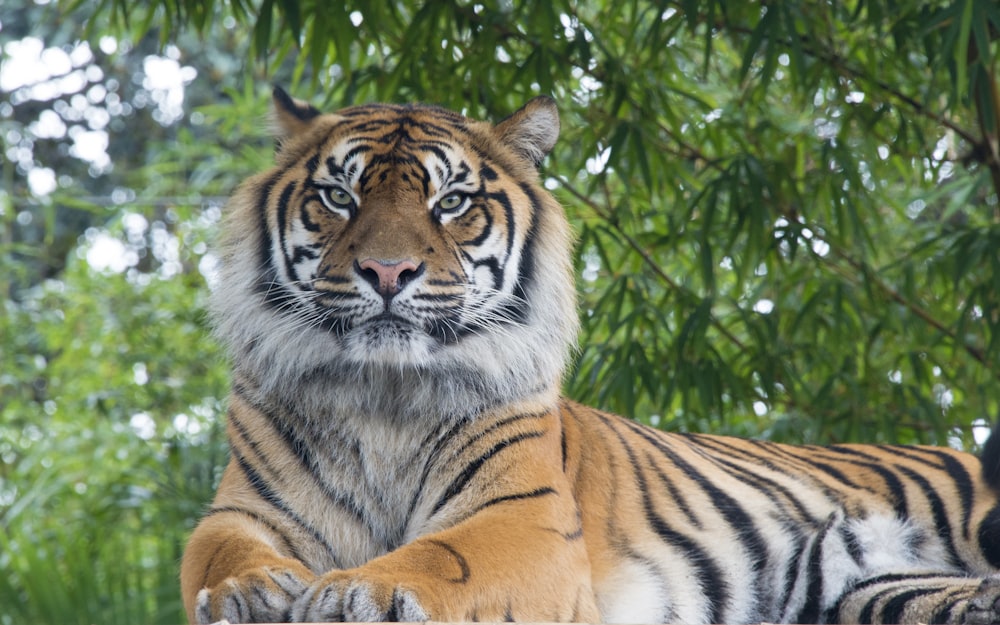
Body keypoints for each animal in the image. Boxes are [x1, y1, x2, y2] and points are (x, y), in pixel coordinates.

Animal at [182, 89, 1000, 624]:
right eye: (339, 197)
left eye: (451, 203)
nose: (387, 272)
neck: (383, 394)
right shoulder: (241, 511)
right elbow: (217, 555)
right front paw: (250, 593)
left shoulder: (521, 517)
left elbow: (440, 555)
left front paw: (361, 591)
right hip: (877, 593)